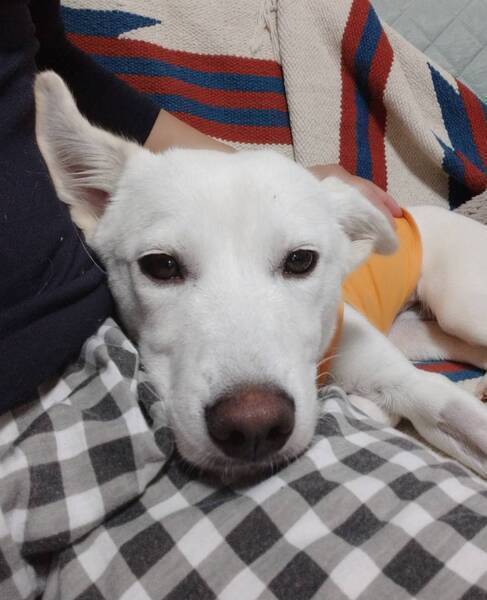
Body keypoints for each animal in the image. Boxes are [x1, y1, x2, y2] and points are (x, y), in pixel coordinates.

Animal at [34, 72, 487, 480]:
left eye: (301, 260)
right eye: (160, 266)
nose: (253, 426)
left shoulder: (414, 385)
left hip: (461, 309)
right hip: (421, 333)